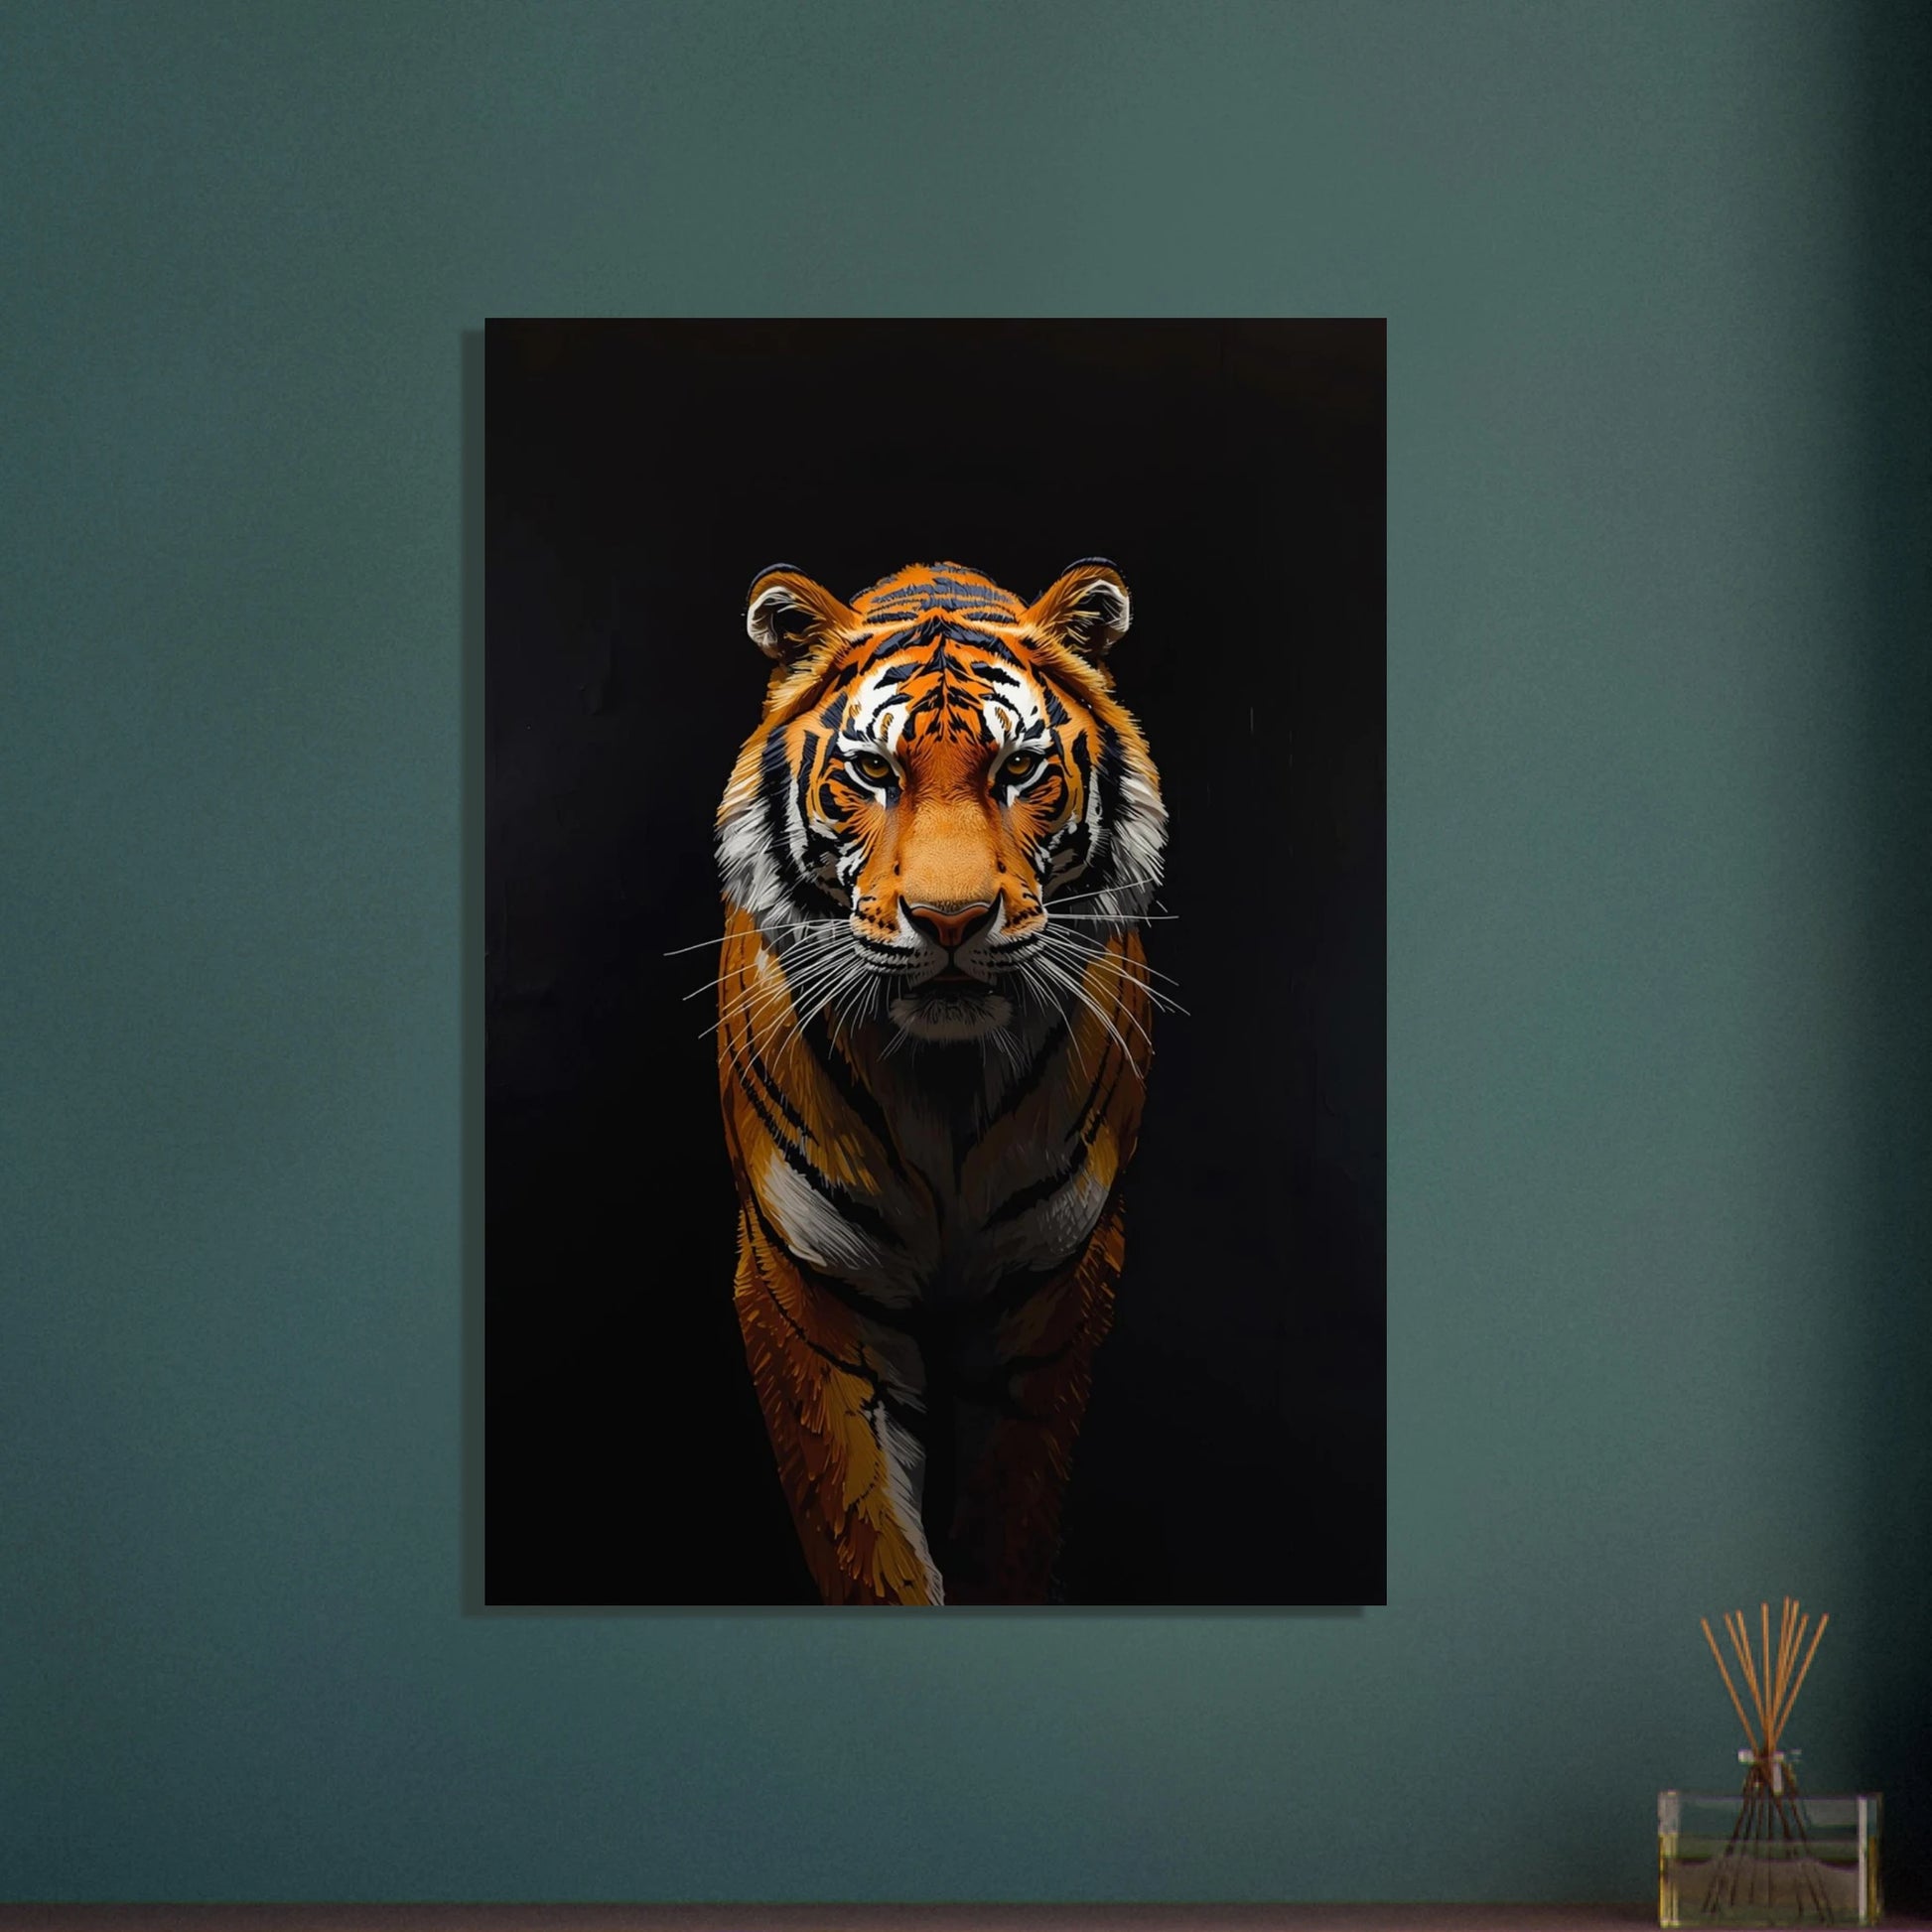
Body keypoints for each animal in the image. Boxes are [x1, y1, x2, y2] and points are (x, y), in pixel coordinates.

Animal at [712, 559, 1168, 1605]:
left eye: (1019, 770)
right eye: (874, 773)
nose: (951, 920)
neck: (944, 1086)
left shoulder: (1057, 1289)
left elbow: (1013, 1516)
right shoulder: (810, 1291)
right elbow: (865, 1538)